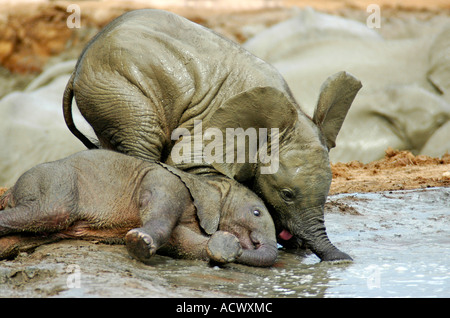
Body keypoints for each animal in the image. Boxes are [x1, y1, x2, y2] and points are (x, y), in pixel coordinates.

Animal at [0, 150, 278, 268]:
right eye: (256, 213)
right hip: (54, 180)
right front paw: (139, 243)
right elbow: (163, 218)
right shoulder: (166, 182)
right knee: (50, 211)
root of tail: (11, 190)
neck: (207, 182)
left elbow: (182, 241)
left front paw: (225, 247)